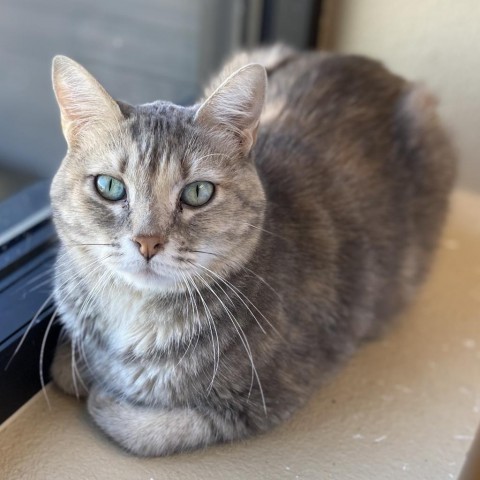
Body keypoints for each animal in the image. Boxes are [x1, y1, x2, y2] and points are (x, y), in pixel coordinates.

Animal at [49, 46, 458, 458]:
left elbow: (141, 429)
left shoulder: (260, 402)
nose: (148, 241)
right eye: (109, 186)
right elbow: (63, 367)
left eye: (198, 192)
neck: (131, 312)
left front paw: (102, 393)